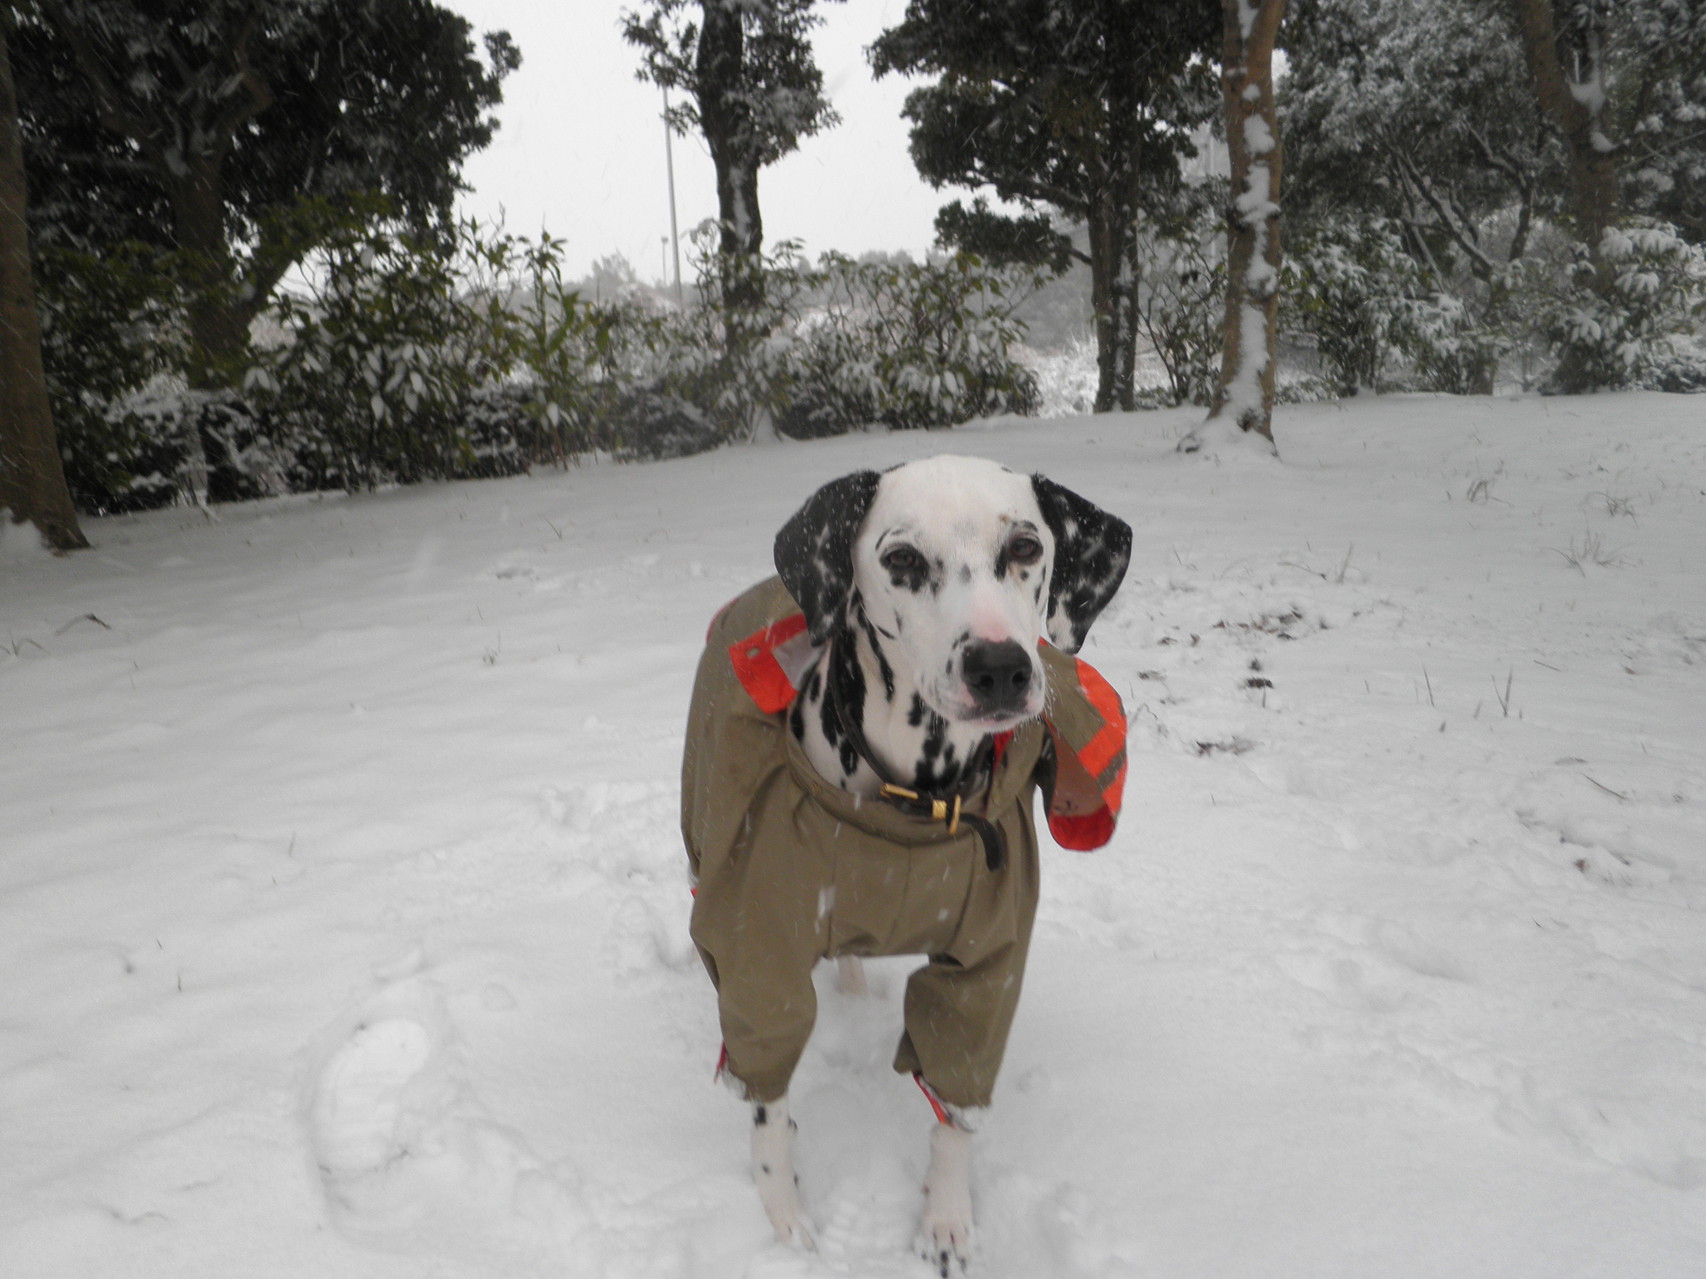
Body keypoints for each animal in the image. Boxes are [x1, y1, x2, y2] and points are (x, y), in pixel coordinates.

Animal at [747, 457, 1132, 1275]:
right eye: (901, 558)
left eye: (1025, 547)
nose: (999, 667)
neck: (912, 804)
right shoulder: (763, 953)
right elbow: (767, 1098)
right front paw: (782, 1215)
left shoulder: (985, 973)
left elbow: (954, 1107)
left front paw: (947, 1222)